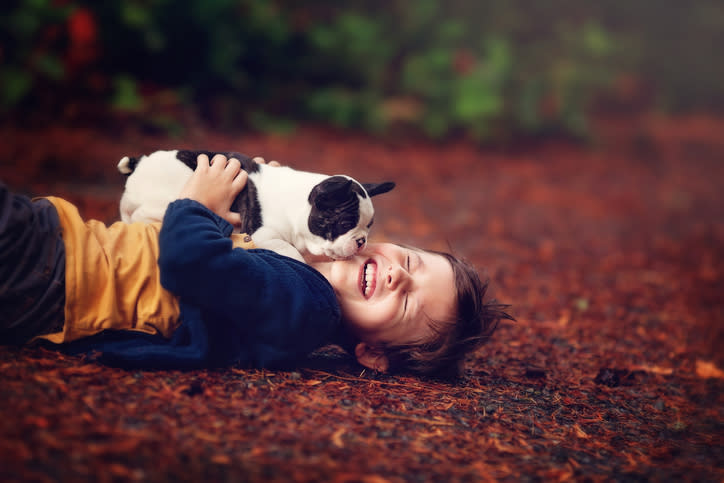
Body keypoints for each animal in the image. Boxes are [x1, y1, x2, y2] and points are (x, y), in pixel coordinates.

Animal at [117, 150, 396, 260]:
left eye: (369, 227)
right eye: (346, 223)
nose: (361, 241)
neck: (297, 204)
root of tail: (142, 162)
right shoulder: (264, 234)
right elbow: (291, 253)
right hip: (162, 196)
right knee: (141, 212)